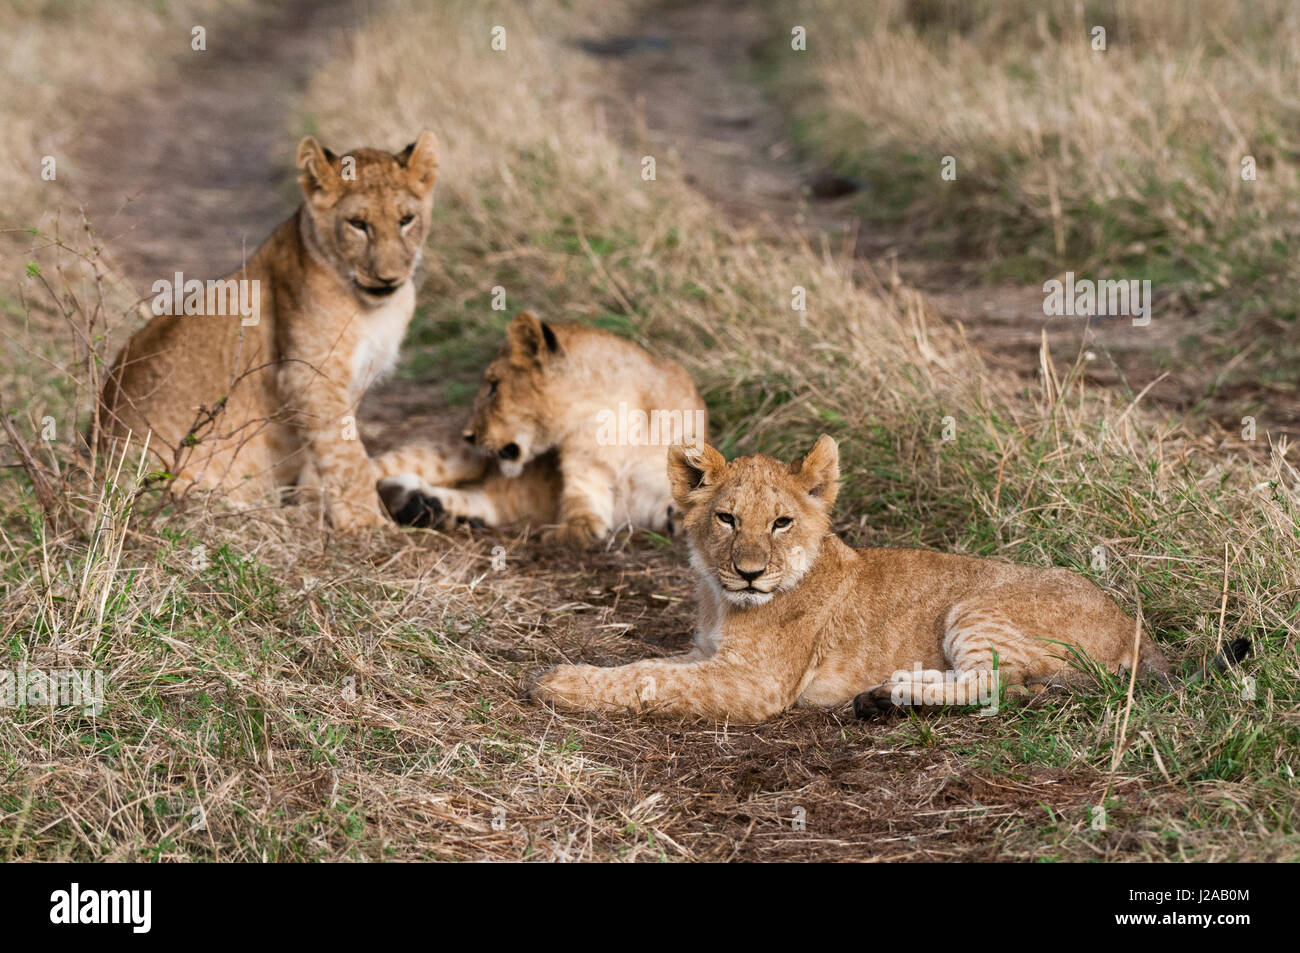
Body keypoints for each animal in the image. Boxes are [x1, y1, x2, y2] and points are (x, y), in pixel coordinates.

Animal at [98, 131, 472, 530]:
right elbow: (348, 454)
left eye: (406, 220)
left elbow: (327, 452)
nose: (388, 278)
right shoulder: (309, 375)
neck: (375, 307)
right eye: (357, 223)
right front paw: (365, 522)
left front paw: (319, 506)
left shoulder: (348, 381)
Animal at [378, 311, 708, 545]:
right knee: (377, 470)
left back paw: (424, 507)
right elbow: (580, 509)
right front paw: (574, 532)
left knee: (473, 498)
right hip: (449, 457)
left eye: (494, 386)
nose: (468, 435)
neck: (609, 425)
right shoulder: (583, 476)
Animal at [529, 435, 1177, 721]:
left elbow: (650, 682)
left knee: (997, 683)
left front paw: (558, 683)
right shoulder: (709, 656)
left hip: (976, 607)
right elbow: (650, 667)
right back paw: (886, 692)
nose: (749, 574)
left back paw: (894, 695)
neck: (722, 599)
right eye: (727, 518)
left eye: (782, 522)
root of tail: (1140, 633)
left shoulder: (755, 684)